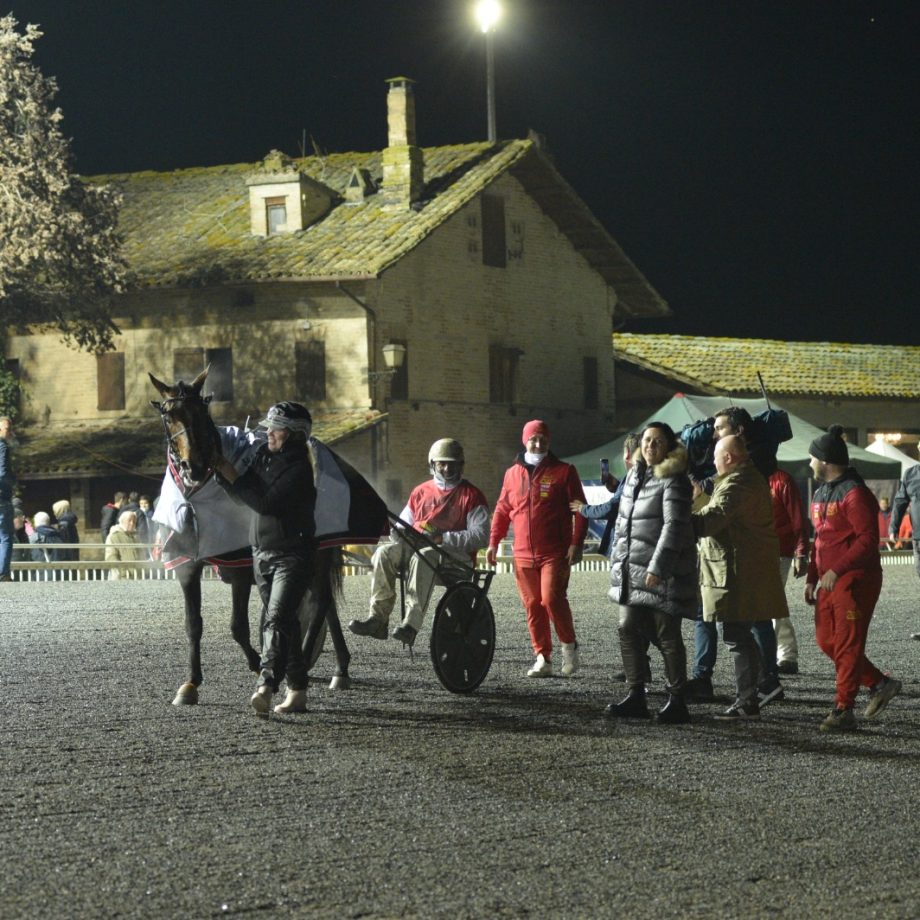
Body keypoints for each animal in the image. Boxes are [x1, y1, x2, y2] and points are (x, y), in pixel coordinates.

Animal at [151, 366, 370, 704]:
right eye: (169, 415)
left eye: (201, 412)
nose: (194, 467)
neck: (201, 496)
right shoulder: (187, 562)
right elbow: (193, 624)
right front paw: (190, 684)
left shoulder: (242, 566)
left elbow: (238, 626)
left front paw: (259, 664)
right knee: (326, 603)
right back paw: (340, 668)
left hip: (320, 549)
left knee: (321, 601)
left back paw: (306, 665)